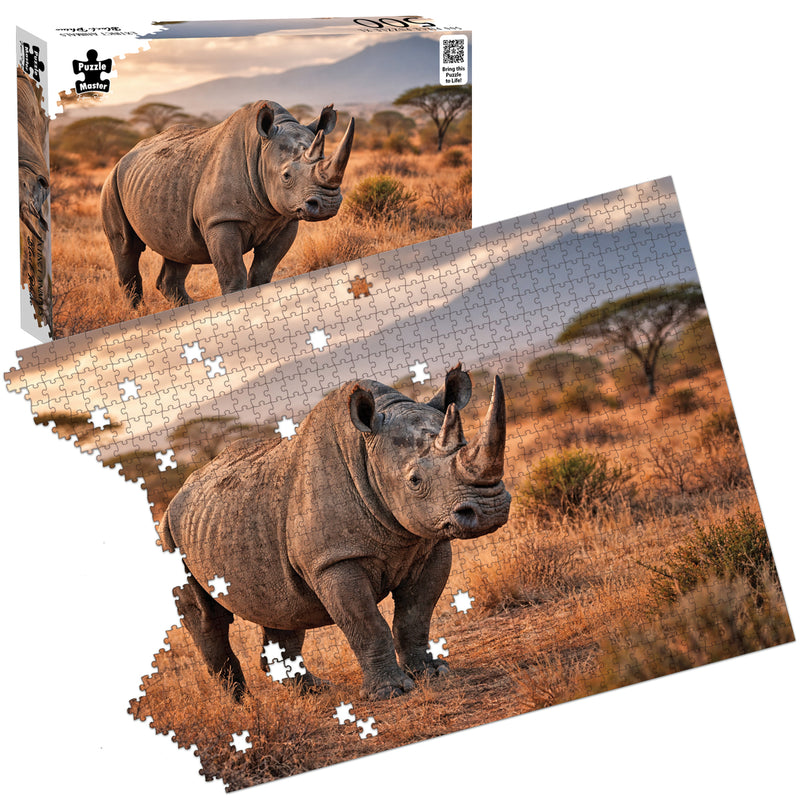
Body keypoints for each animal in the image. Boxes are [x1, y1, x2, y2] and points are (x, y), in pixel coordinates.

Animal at [101, 101, 354, 307]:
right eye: (286, 176)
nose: (329, 204)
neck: (261, 150)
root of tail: (124, 157)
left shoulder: (285, 220)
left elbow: (262, 273)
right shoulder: (221, 221)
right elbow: (233, 276)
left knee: (179, 248)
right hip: (111, 185)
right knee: (126, 247)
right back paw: (138, 312)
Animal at [160, 366, 511, 700]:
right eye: (414, 480)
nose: (491, 508)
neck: (368, 453)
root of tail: (177, 495)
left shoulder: (431, 544)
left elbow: (415, 617)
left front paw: (432, 673)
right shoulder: (333, 561)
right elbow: (367, 624)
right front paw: (390, 692)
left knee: (284, 609)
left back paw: (314, 691)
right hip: (169, 535)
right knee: (208, 620)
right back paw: (242, 707)